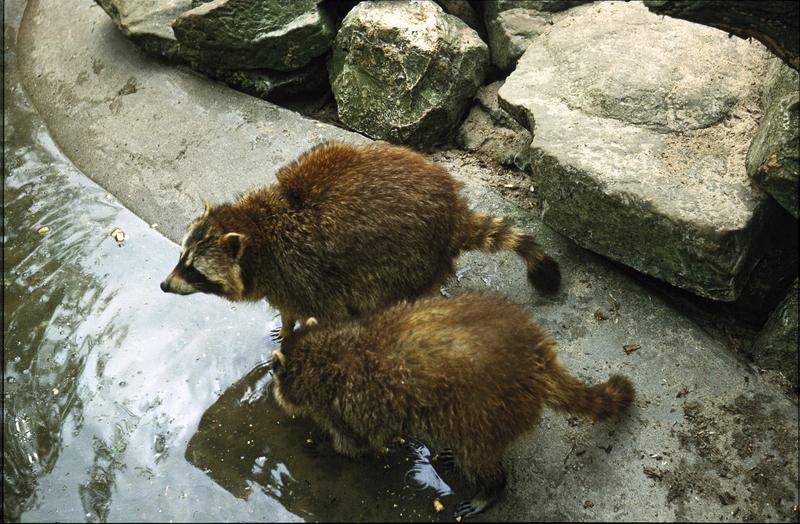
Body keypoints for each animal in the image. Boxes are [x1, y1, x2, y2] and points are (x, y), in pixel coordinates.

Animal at [159, 141, 560, 338]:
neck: (257, 231)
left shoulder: (303, 273)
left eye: (194, 271)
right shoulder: (283, 279)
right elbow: (287, 308)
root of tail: (453, 213)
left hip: (405, 257)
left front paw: (297, 334)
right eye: (181, 258)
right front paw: (285, 325)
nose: (163, 285)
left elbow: (322, 313)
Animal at [272, 292, 636, 516]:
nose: (273, 387)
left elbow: (357, 442)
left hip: (486, 409)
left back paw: (491, 486)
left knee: (479, 454)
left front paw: (327, 447)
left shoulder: (350, 402)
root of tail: (538, 357)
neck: (325, 352)